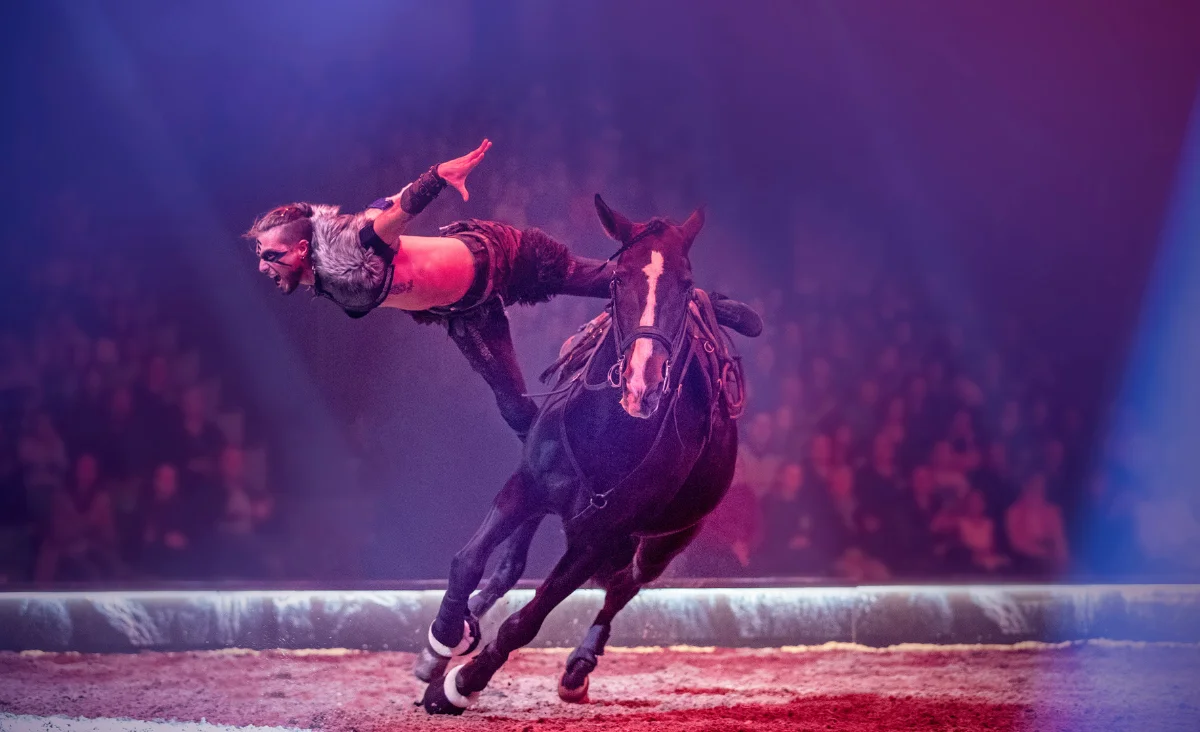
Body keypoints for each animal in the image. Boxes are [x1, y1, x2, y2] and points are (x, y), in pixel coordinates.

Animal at [415, 195, 747, 714]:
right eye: (617, 279)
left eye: (686, 283)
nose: (642, 381)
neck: (606, 433)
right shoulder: (526, 486)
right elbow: (469, 561)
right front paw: (442, 641)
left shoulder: (597, 539)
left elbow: (527, 621)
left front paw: (460, 684)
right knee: (511, 567)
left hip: (669, 537)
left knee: (624, 586)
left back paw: (578, 667)